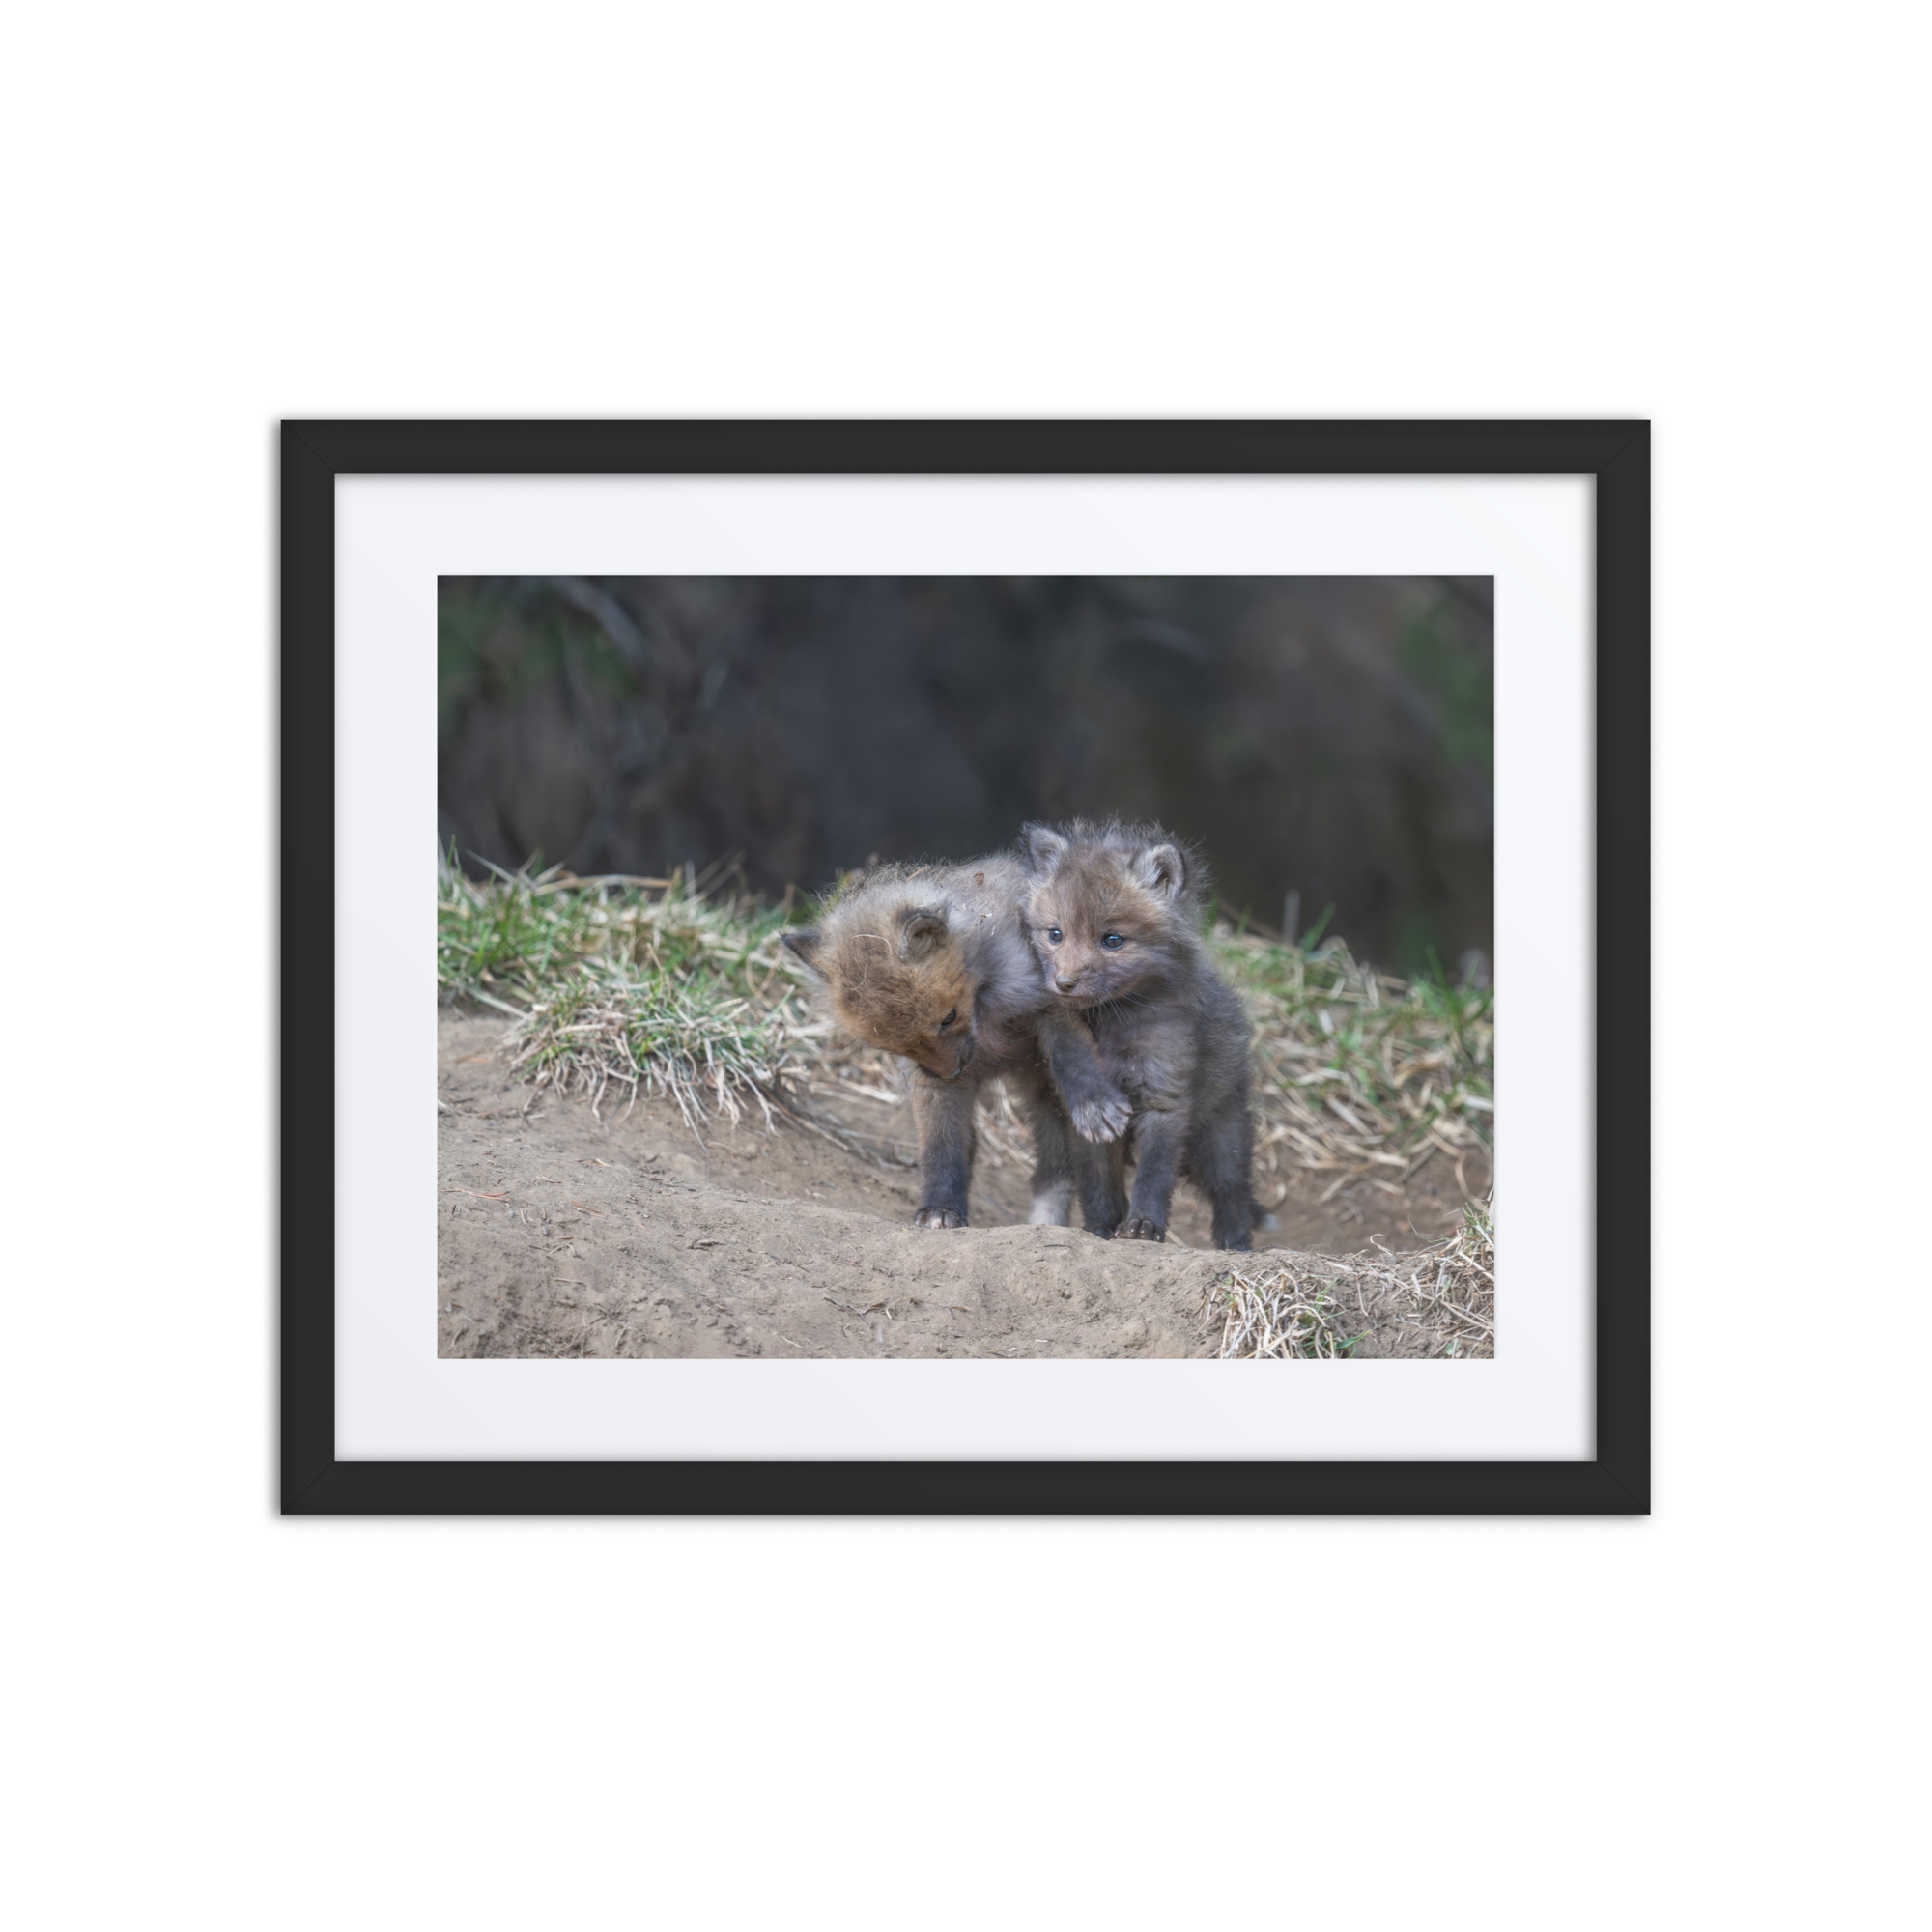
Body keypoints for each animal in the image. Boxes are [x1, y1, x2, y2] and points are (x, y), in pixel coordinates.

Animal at [780, 855, 1132, 1230]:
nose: (951, 1073)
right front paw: (940, 1208)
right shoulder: (929, 1082)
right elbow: (941, 1147)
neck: (984, 1011)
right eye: (895, 1046)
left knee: (1093, 1172)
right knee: (1052, 1168)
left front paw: (1093, 1103)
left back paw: (1104, 1227)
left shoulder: (1050, 1000)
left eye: (948, 1018)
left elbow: (1072, 1056)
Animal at [1019, 820, 1259, 1250]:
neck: (1112, 1027)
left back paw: (1236, 1245)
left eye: (1112, 940)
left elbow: (1154, 1175)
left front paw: (1144, 1225)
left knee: (1233, 1192)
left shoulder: (1164, 1096)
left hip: (1222, 1137)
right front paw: (1100, 1229)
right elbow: (1098, 1182)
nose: (1063, 983)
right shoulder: (1089, 1115)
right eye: (1055, 934)